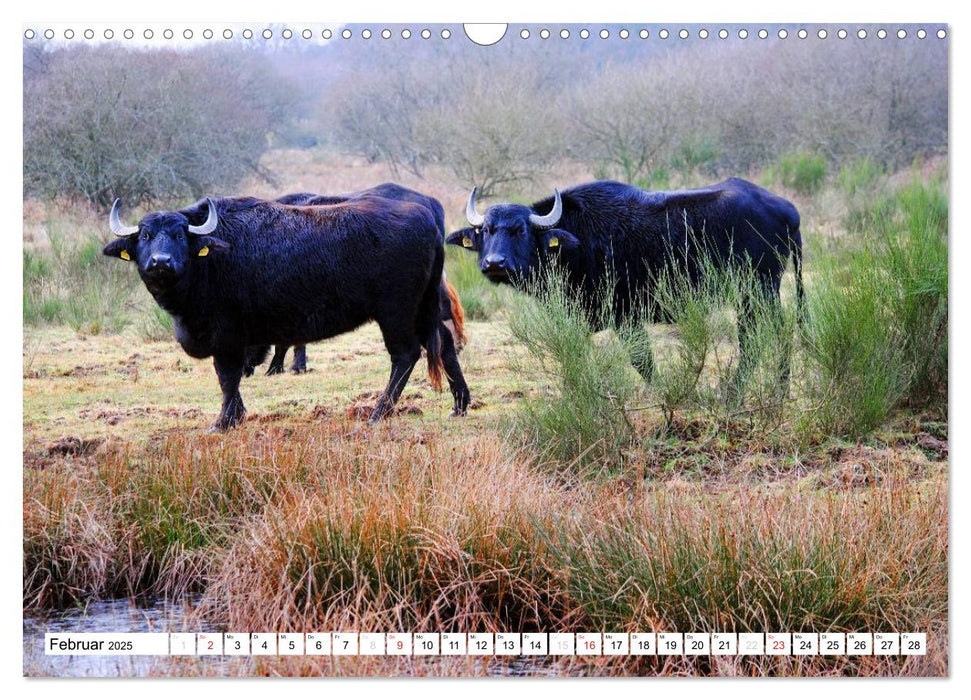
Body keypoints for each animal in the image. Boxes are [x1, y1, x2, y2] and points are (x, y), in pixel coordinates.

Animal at [104, 194, 454, 430]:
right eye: (146, 236)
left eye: (179, 234)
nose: (160, 262)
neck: (211, 259)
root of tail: (427, 219)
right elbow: (229, 380)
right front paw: (236, 415)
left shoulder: (228, 337)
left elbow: (227, 377)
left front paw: (223, 421)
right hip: (423, 309)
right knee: (443, 343)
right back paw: (458, 404)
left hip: (396, 313)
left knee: (405, 355)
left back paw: (379, 412)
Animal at [448, 175, 804, 382]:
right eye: (486, 230)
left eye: (519, 230)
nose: (495, 263)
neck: (578, 239)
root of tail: (786, 209)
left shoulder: (626, 316)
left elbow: (642, 361)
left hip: (759, 290)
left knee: (770, 335)